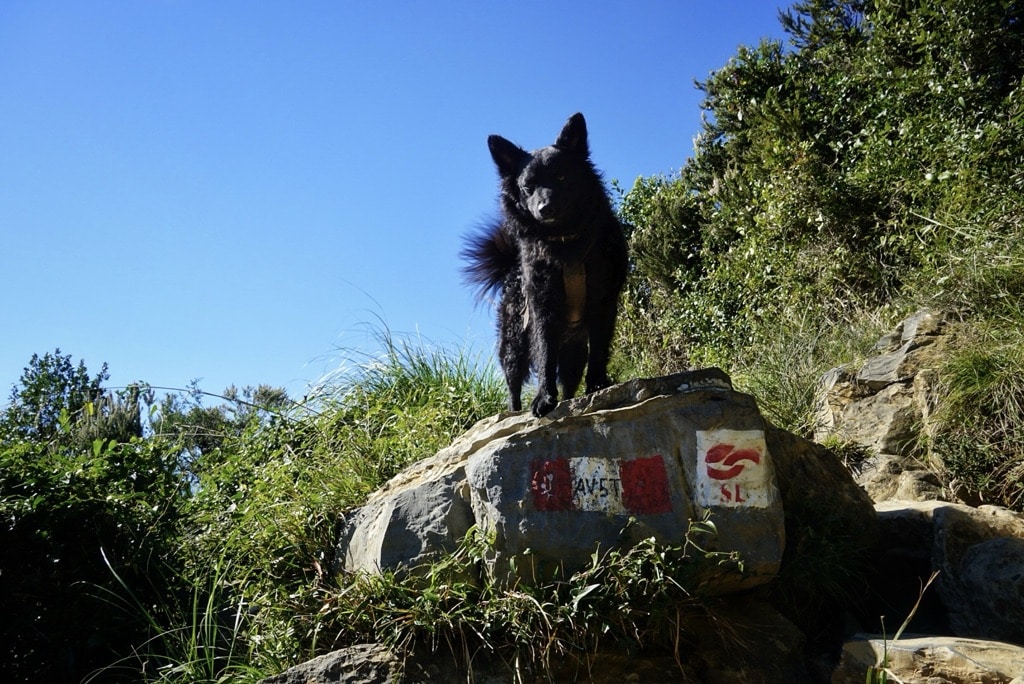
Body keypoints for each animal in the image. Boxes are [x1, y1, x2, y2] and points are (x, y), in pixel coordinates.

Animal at [462, 112, 622, 417]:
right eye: (528, 187)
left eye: (561, 176)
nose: (544, 208)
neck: (565, 243)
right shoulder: (543, 306)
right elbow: (545, 352)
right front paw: (544, 399)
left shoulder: (603, 299)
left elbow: (599, 349)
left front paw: (597, 384)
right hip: (513, 342)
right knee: (513, 382)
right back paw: (514, 411)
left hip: (573, 349)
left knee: (570, 379)